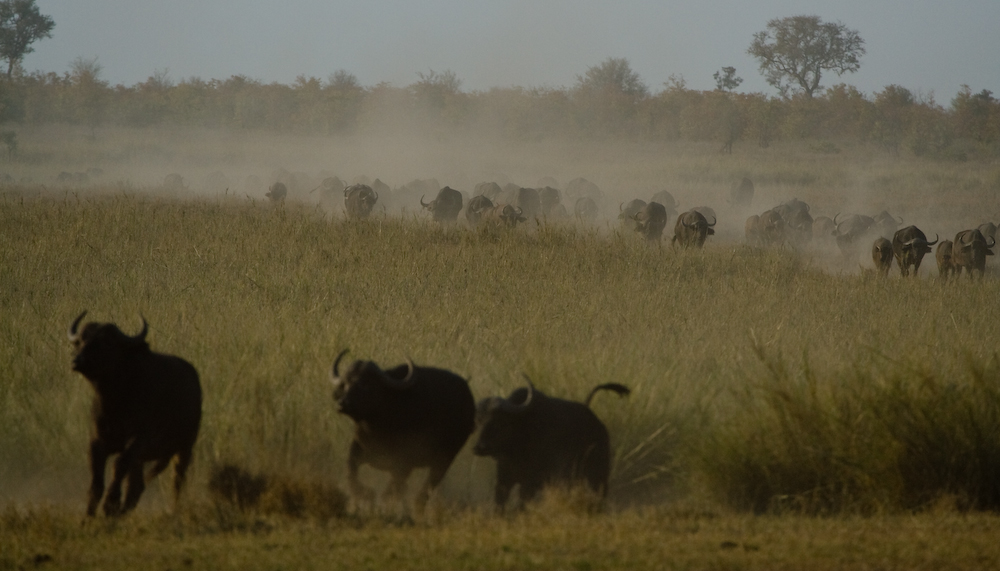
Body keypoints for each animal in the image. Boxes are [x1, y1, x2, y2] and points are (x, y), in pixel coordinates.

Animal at [67, 312, 202, 520]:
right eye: (81, 340)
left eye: (106, 342)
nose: (77, 361)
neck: (115, 403)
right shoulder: (97, 442)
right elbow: (96, 479)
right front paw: (90, 514)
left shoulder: (137, 441)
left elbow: (119, 464)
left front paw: (110, 503)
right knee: (136, 487)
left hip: (184, 447)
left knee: (176, 480)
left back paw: (172, 509)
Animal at [324, 348, 472, 512]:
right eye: (346, 384)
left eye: (366, 384)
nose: (342, 403)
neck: (375, 429)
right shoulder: (357, 449)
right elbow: (350, 472)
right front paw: (366, 494)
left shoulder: (404, 463)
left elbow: (392, 488)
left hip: (445, 458)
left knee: (429, 484)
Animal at [472, 378, 628, 512]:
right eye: (478, 420)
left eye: (499, 422)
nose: (480, 447)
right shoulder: (503, 481)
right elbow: (499, 506)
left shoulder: (530, 483)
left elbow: (522, 505)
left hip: (598, 474)